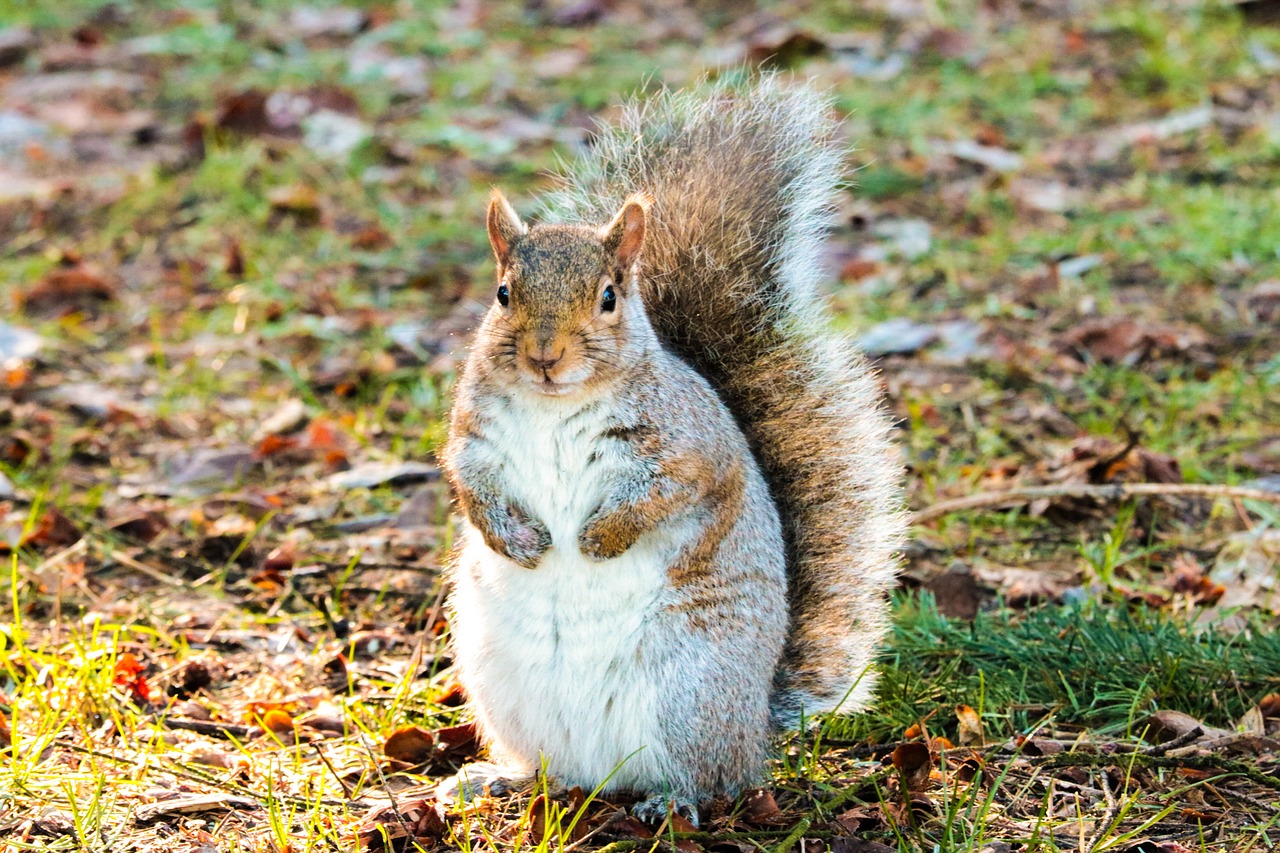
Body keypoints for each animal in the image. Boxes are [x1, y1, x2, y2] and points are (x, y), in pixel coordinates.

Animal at [437, 76, 901, 819]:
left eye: (608, 297)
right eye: (504, 294)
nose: (544, 356)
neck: (554, 405)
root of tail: (755, 726)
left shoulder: (689, 450)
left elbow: (669, 494)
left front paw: (599, 538)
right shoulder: (474, 438)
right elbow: (469, 486)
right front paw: (517, 540)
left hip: (690, 692)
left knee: (713, 778)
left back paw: (672, 801)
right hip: (501, 685)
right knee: (548, 768)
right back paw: (497, 778)